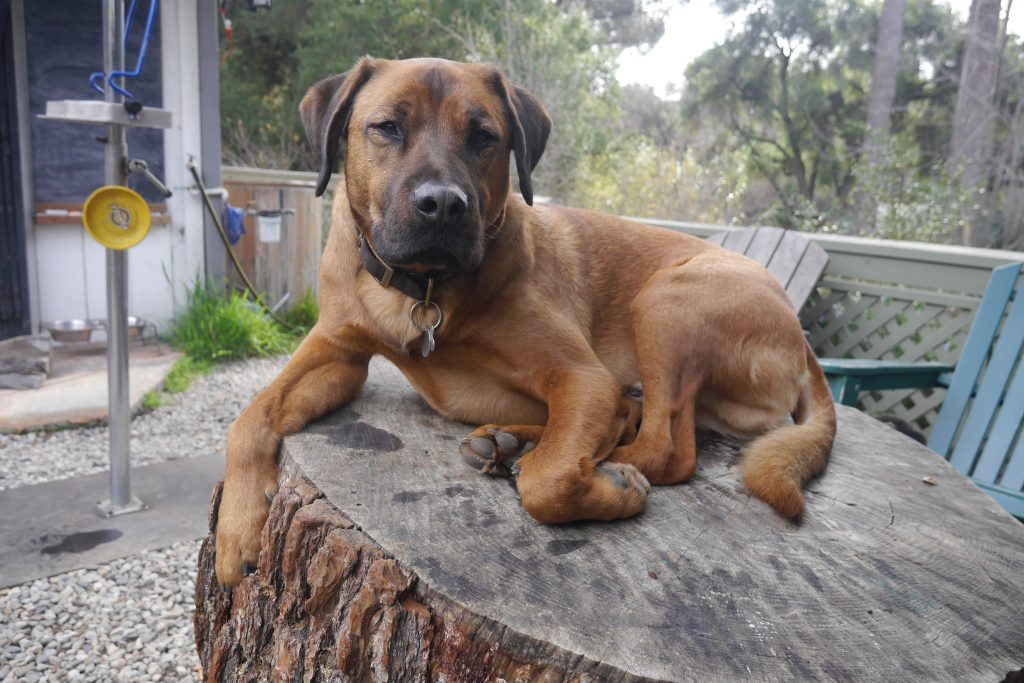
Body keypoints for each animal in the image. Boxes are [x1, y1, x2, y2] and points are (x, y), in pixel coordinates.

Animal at [211, 57, 835, 589]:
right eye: (386, 127)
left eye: (484, 137)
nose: (443, 204)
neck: (428, 290)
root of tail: (803, 343)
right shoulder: (337, 352)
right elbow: (249, 418)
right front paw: (237, 531)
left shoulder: (582, 377)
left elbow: (548, 482)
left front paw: (604, 486)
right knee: (634, 423)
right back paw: (513, 443)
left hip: (667, 303)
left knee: (664, 449)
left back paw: (578, 458)